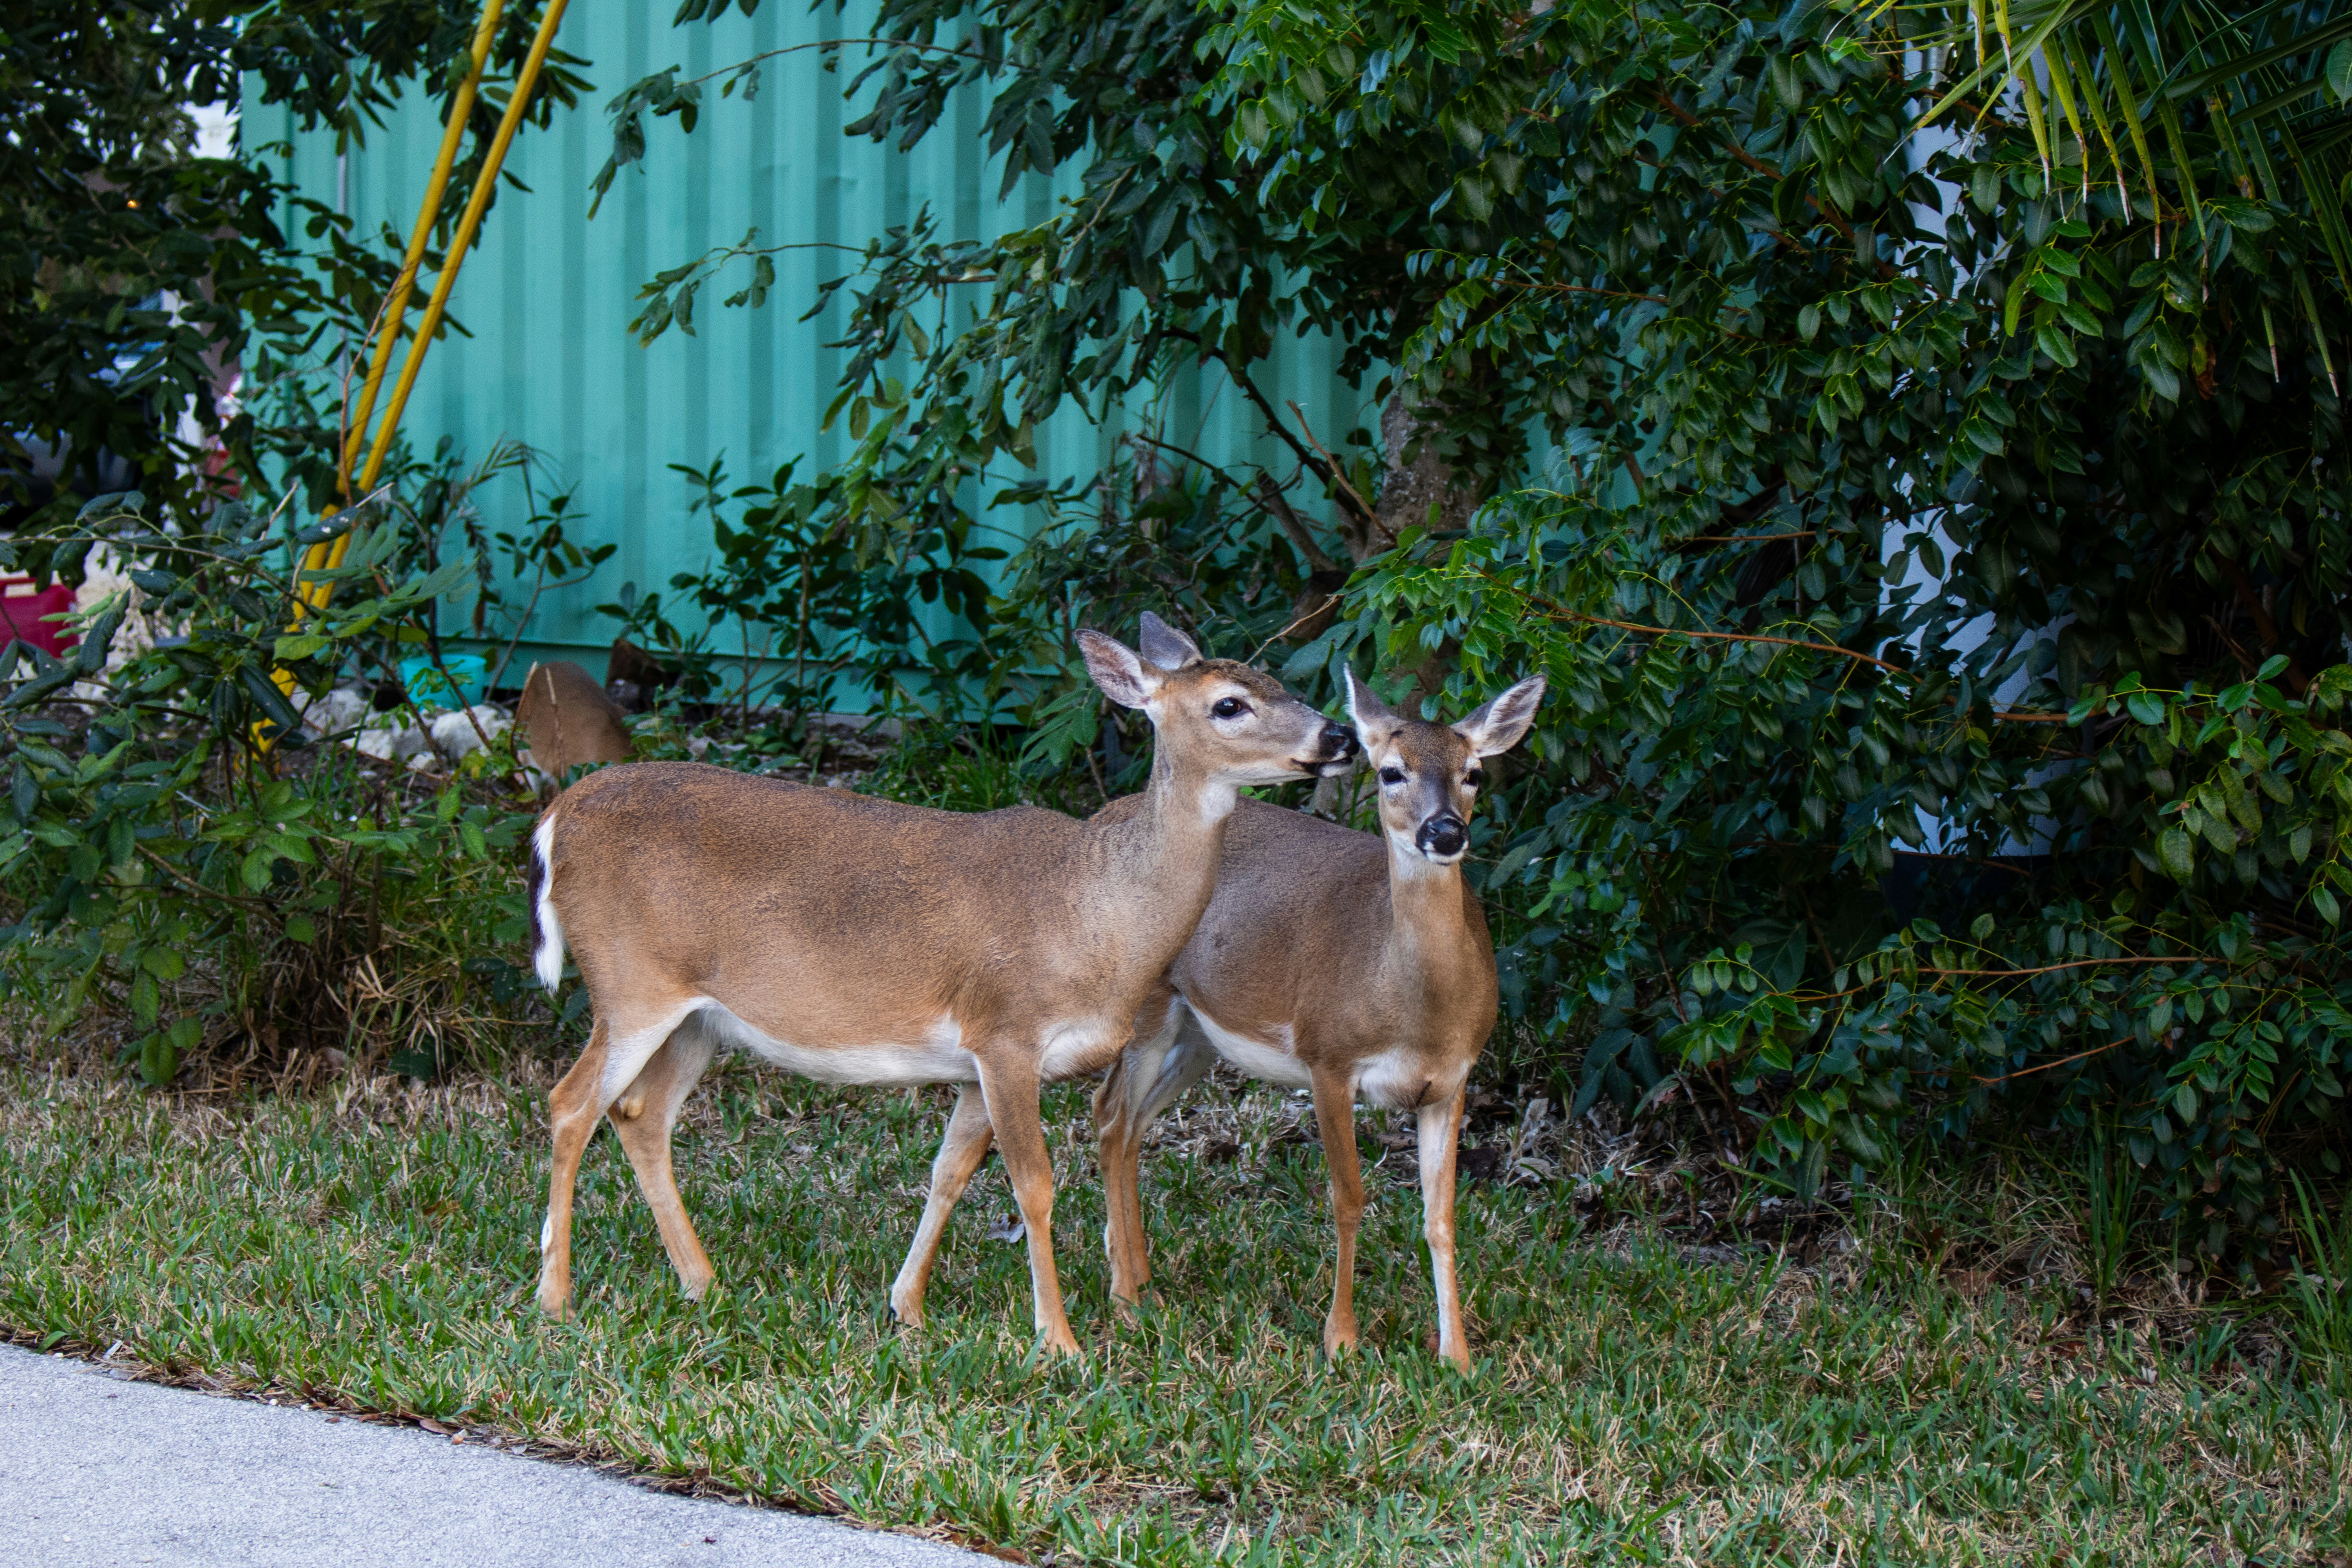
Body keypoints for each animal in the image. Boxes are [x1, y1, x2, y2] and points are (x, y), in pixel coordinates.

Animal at [1089, 667, 1544, 1371]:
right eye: (1390, 772)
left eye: (1472, 772)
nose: (1444, 833)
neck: (1413, 1010)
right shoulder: (1328, 1055)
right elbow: (1347, 1197)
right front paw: (1341, 1341)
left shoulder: (1452, 1081)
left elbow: (1440, 1217)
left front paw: (1457, 1356)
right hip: (1148, 1004)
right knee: (1110, 1116)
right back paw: (1125, 1298)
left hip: (1200, 1032)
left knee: (1132, 1123)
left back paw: (1142, 1281)